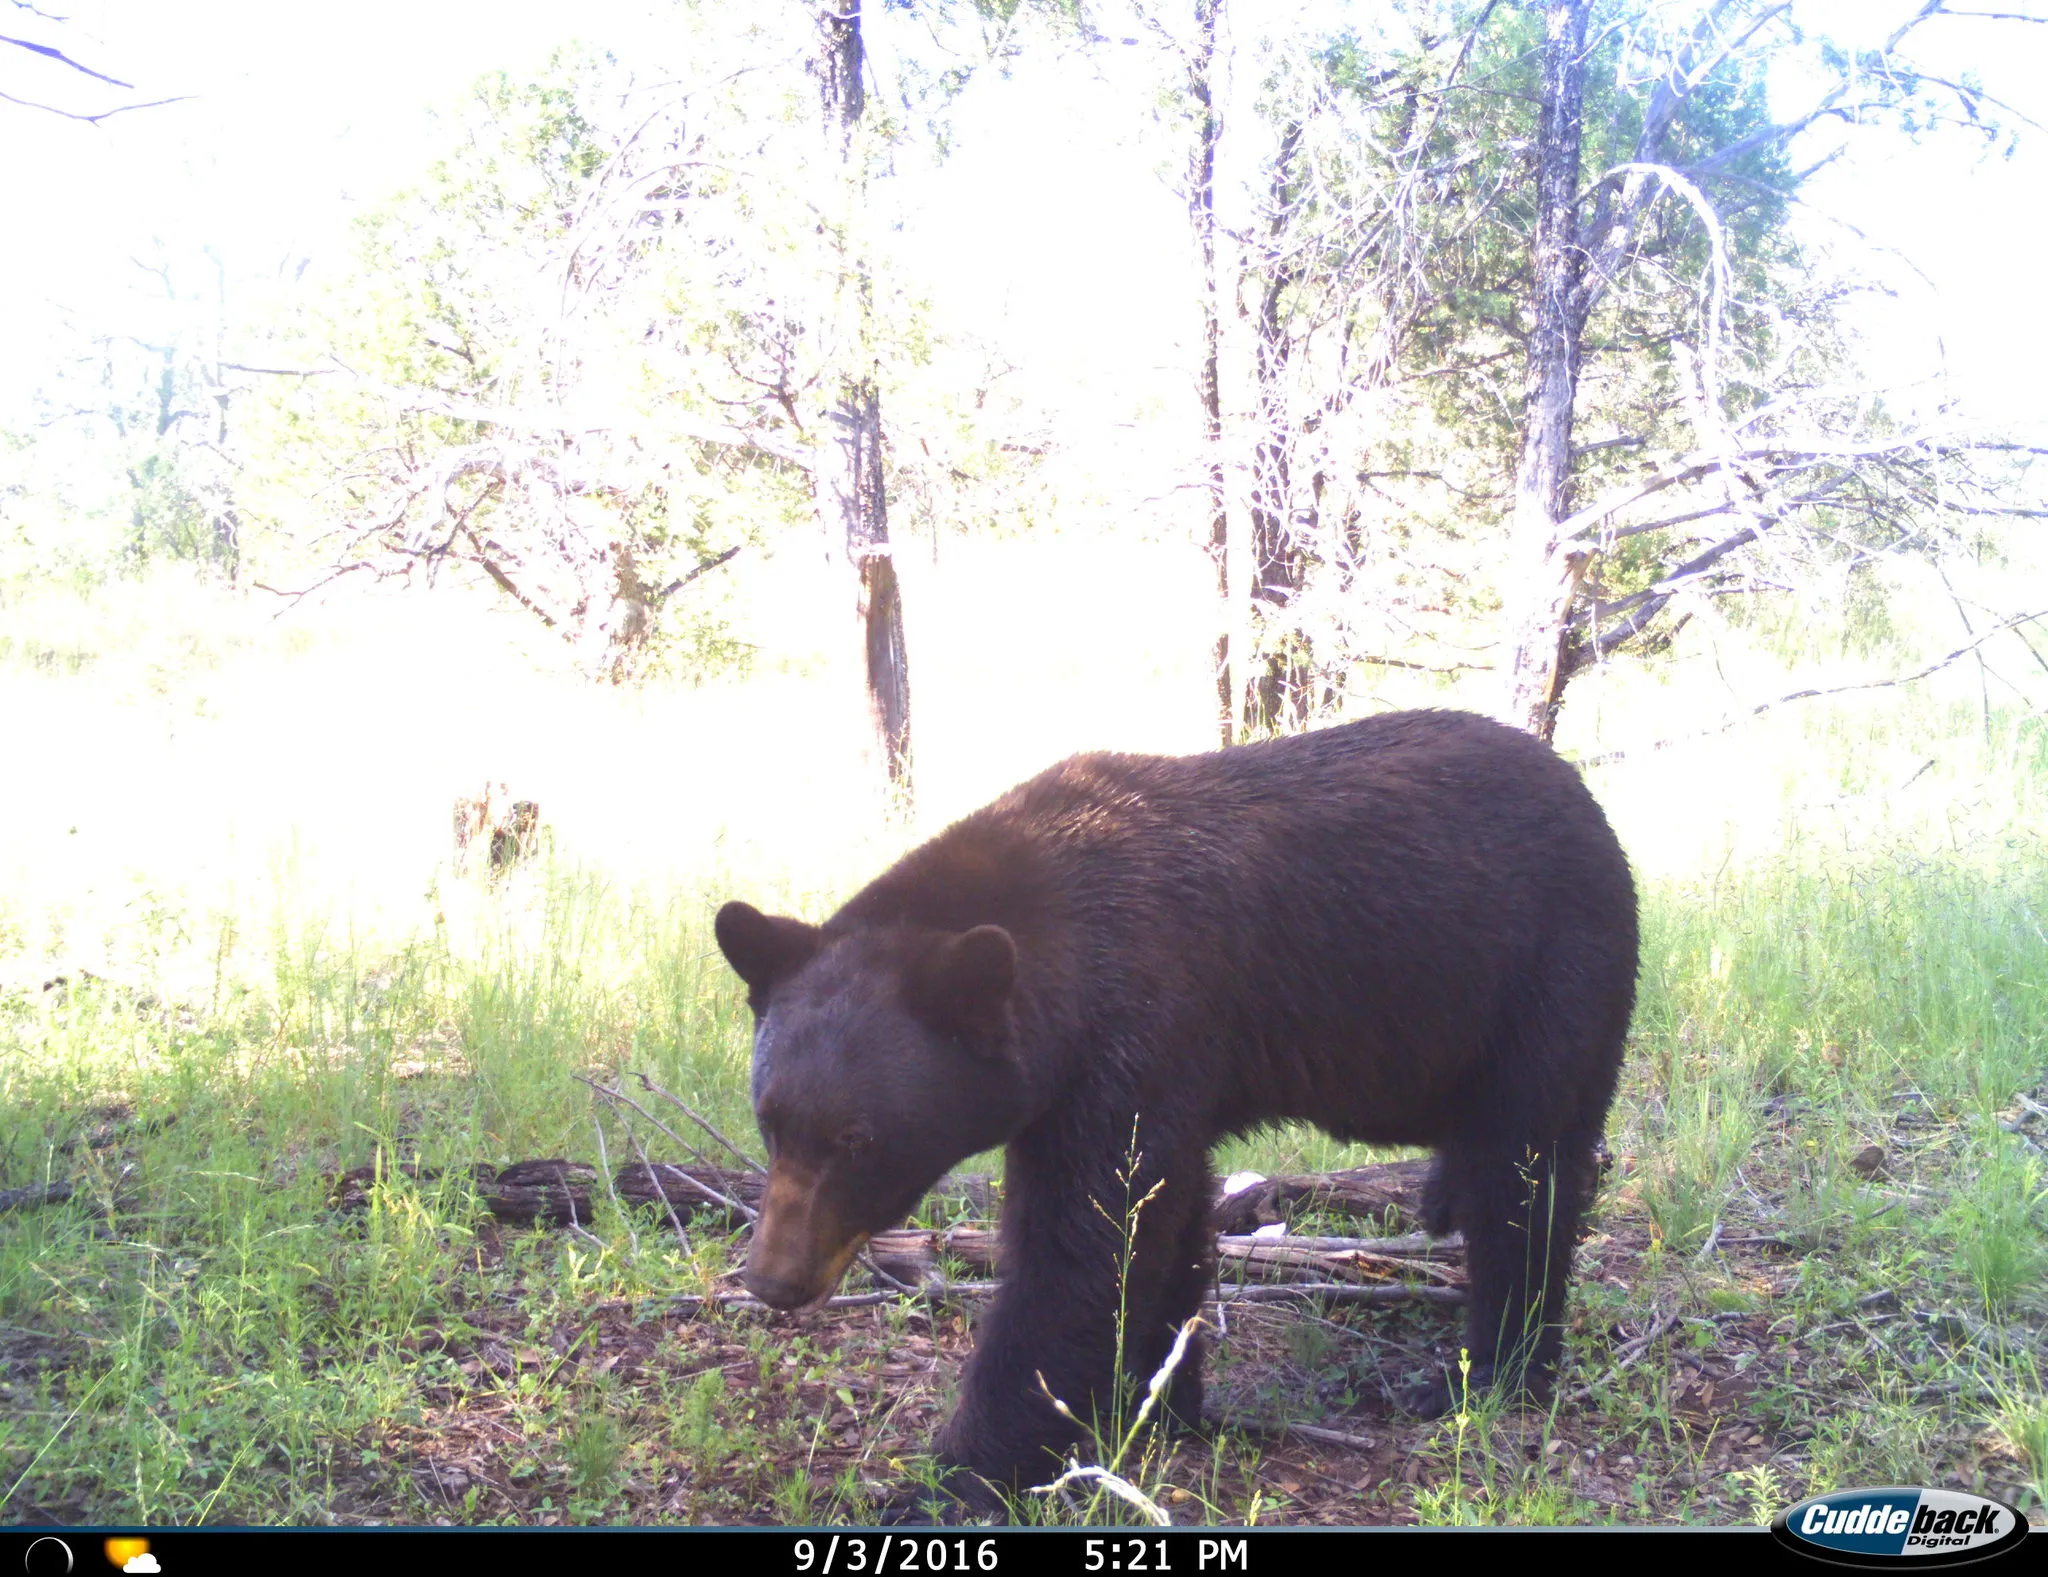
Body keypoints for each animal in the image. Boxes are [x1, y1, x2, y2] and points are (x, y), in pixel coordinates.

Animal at [712, 708, 1638, 1499]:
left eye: (857, 1138)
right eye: (770, 1120)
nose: (773, 1280)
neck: (1061, 953)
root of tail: (1589, 801)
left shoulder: (1136, 1027)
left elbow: (1084, 1251)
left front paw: (958, 1474)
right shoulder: (1142, 1072)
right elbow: (1167, 1222)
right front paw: (1156, 1401)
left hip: (1543, 981)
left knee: (1522, 1175)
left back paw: (1488, 1372)